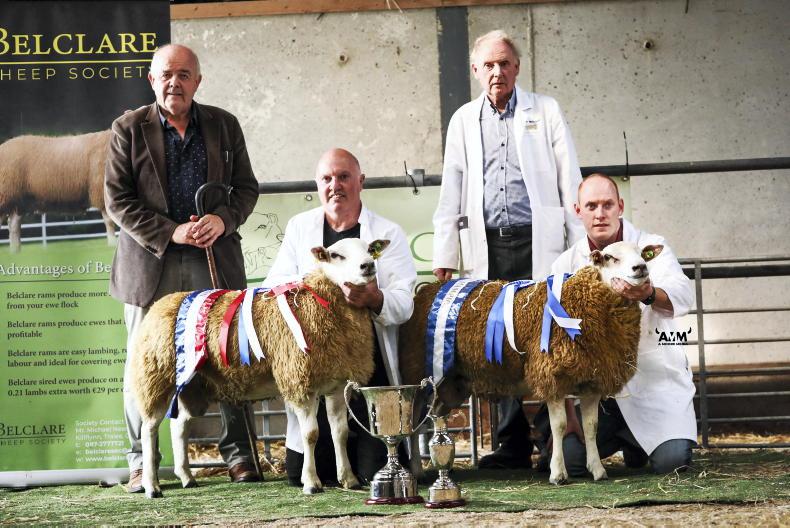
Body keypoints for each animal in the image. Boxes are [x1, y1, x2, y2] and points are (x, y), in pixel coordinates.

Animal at [130, 237, 391, 498]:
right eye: (336, 255)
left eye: (370, 249)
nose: (368, 266)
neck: (322, 303)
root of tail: (162, 303)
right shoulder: (299, 380)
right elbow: (311, 434)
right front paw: (311, 482)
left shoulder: (336, 383)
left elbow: (340, 433)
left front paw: (349, 479)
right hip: (156, 376)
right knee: (149, 429)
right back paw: (151, 486)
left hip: (193, 386)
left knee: (179, 426)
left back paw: (186, 477)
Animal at [400, 241, 662, 485]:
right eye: (610, 257)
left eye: (641, 253)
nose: (641, 267)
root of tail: (426, 292)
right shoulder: (552, 376)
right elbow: (560, 426)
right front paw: (558, 474)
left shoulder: (592, 380)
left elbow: (591, 426)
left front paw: (597, 470)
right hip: (419, 376)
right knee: (413, 423)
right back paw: (417, 472)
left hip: (452, 385)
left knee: (432, 418)